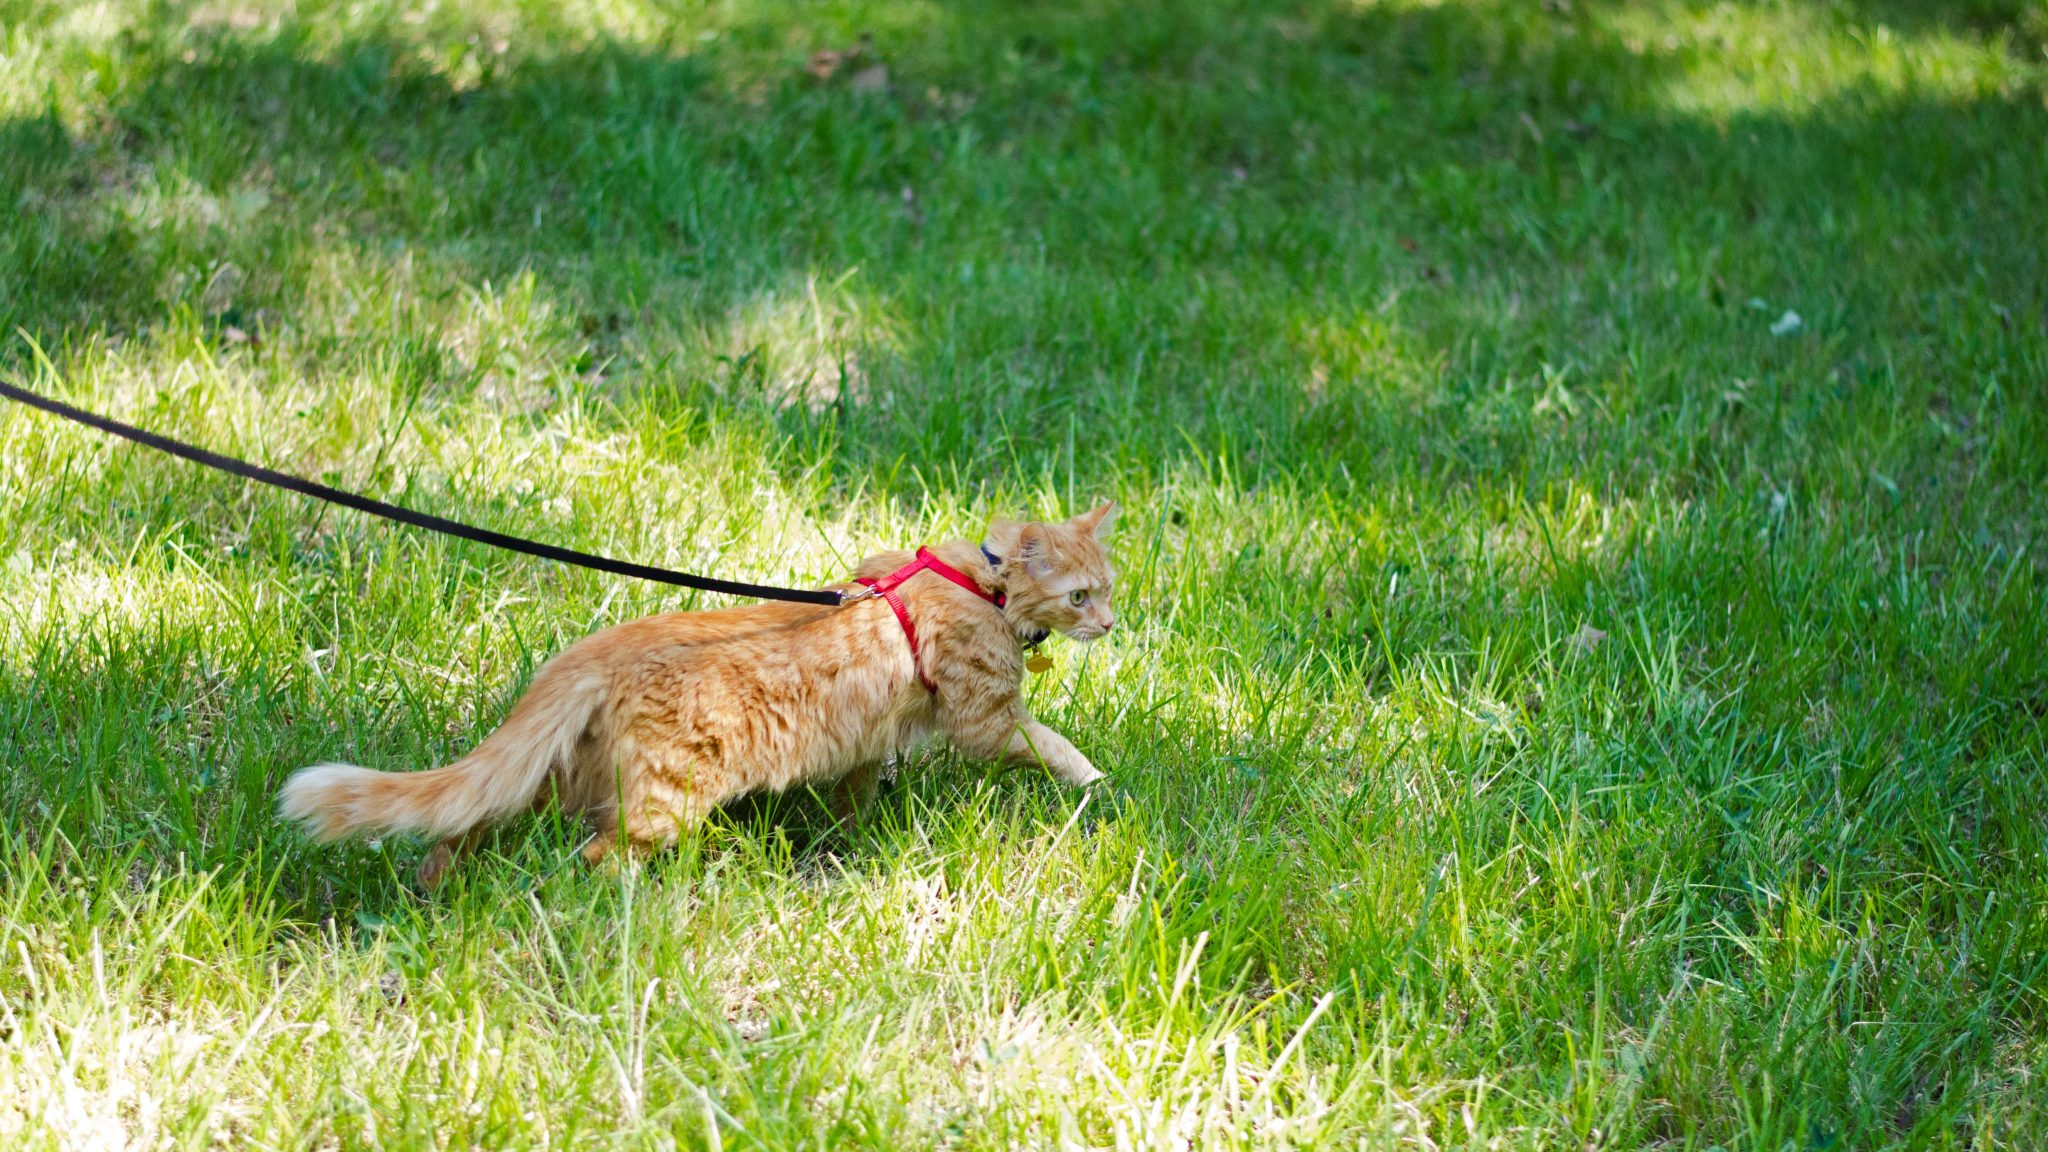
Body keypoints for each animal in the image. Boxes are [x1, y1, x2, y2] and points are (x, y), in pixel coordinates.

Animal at [278, 498, 1122, 881]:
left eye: (1108, 590)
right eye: (1081, 597)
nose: (1112, 624)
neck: (983, 585)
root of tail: (593, 649)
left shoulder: (864, 742)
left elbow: (854, 800)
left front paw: (846, 843)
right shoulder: (986, 721)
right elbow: (1049, 743)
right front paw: (1093, 781)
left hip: (557, 778)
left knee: (464, 824)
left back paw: (436, 889)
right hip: (663, 802)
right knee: (592, 858)